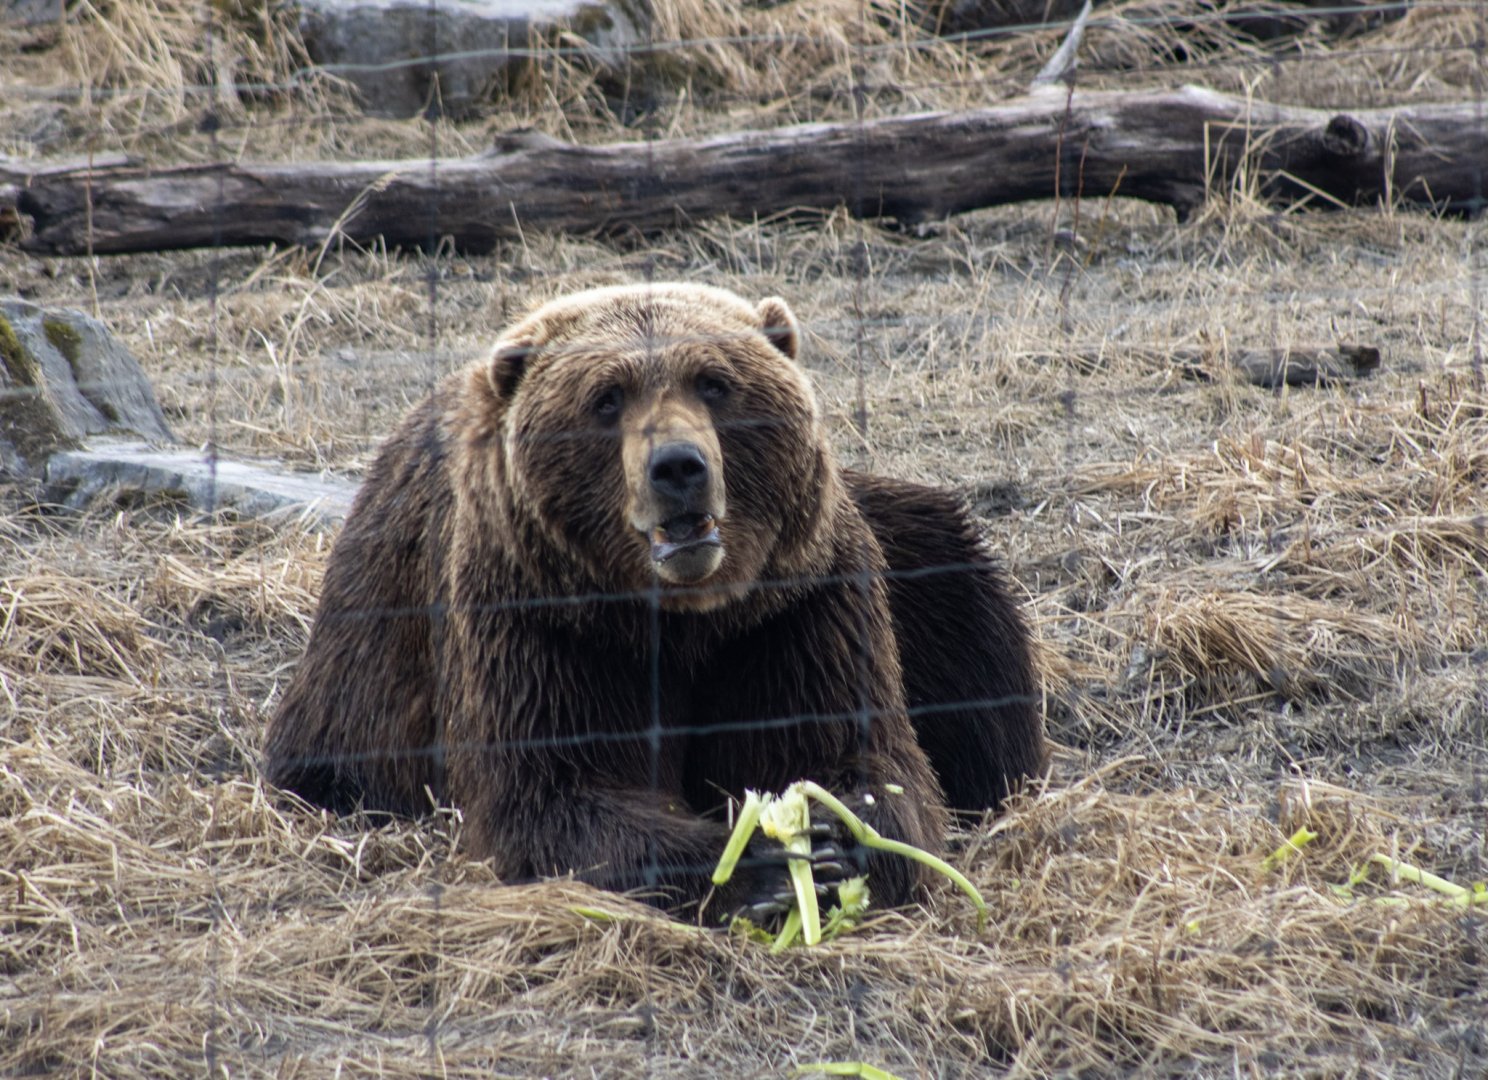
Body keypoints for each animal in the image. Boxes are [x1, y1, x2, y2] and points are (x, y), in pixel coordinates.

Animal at [263, 282, 1045, 918]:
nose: (678, 467)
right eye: (606, 398)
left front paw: (834, 838)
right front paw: (756, 865)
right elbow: (555, 794)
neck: (682, 618)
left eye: (715, 382)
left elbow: (861, 752)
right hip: (361, 670)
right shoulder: (540, 620)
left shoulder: (795, 607)